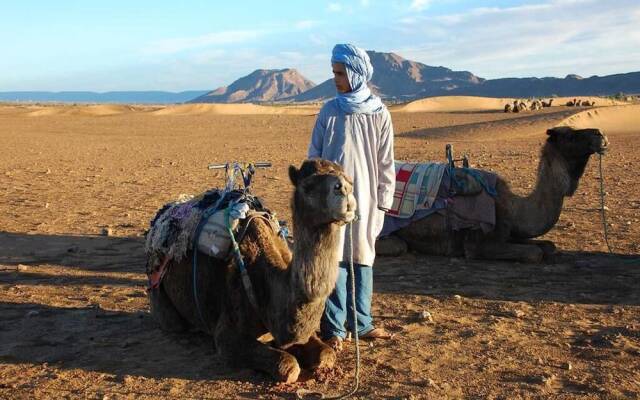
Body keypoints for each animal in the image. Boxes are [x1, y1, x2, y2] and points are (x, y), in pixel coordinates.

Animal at [147, 159, 358, 382]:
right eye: (307, 186)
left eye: (350, 181)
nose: (344, 189)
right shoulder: (227, 336)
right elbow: (288, 366)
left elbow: (327, 355)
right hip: (161, 296)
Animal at [376, 127, 608, 262]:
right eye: (570, 135)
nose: (600, 134)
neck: (514, 209)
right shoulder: (480, 243)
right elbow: (535, 254)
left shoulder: (511, 232)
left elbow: (548, 246)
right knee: (398, 245)